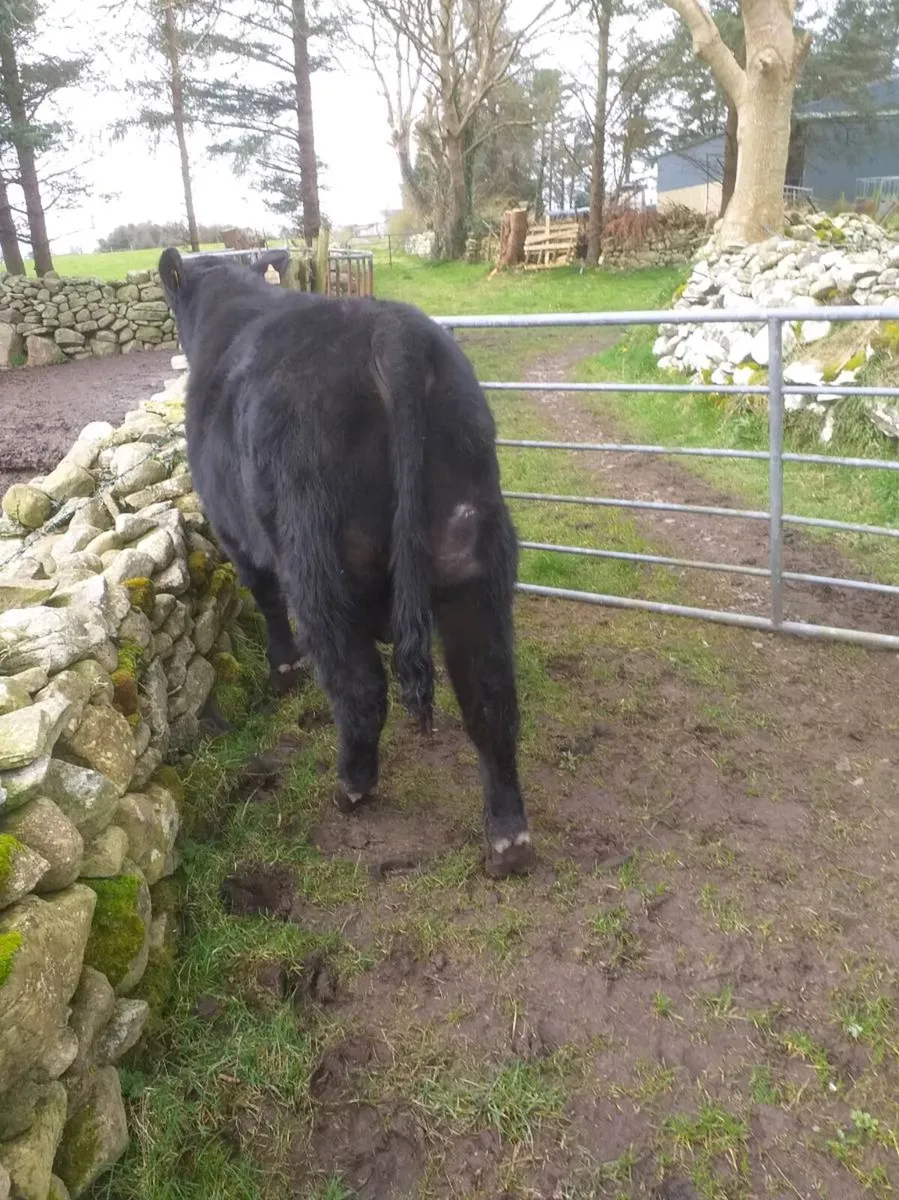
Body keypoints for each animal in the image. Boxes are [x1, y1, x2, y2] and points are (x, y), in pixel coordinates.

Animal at [158, 248, 534, 878]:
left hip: (320, 565)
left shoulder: (236, 533)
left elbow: (265, 600)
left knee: (359, 687)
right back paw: (508, 838)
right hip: (472, 556)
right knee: (490, 695)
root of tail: (392, 330)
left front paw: (284, 670)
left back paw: (352, 787)